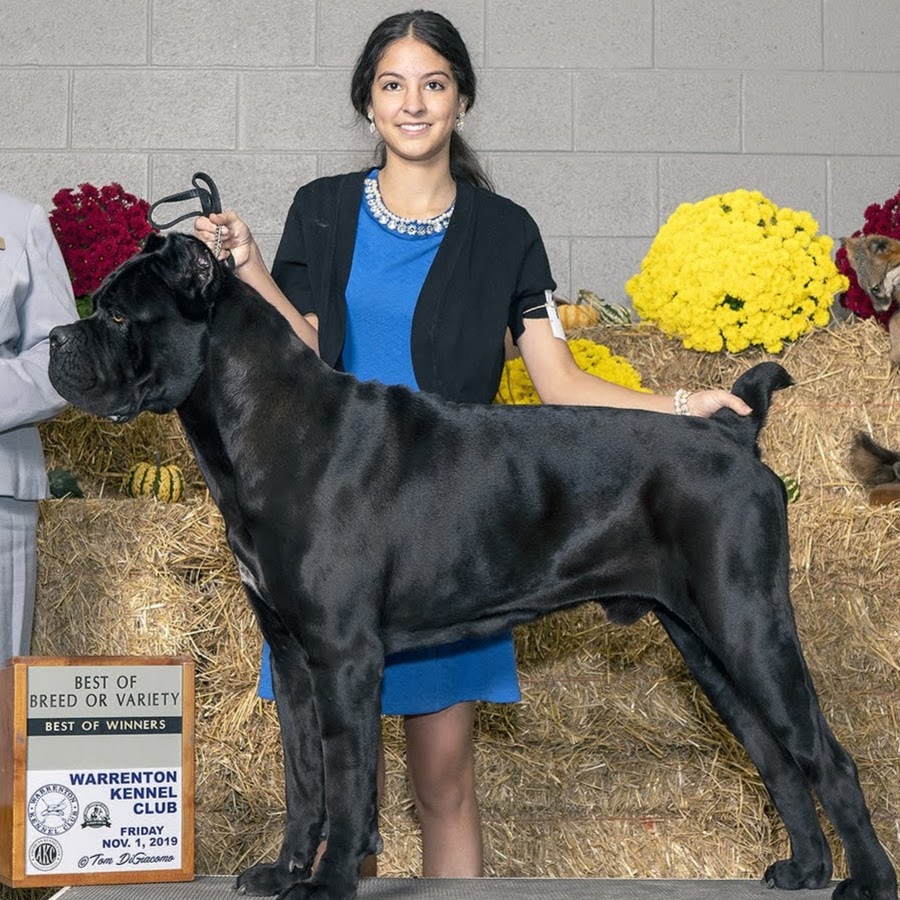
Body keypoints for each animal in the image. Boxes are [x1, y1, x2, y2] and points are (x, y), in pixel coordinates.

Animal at [49, 234, 900, 900]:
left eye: (118, 314)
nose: (58, 338)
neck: (262, 423)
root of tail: (736, 434)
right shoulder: (291, 659)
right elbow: (302, 777)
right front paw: (286, 870)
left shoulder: (342, 655)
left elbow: (347, 778)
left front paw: (328, 881)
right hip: (709, 647)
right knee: (781, 760)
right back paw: (805, 870)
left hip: (750, 627)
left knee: (830, 759)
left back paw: (865, 880)